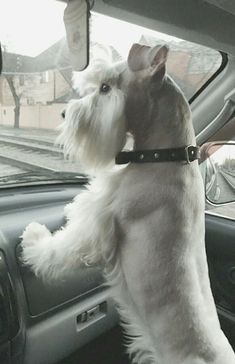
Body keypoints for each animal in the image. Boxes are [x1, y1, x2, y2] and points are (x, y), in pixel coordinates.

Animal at [20, 43, 235, 364]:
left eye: (105, 87)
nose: (63, 112)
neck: (166, 157)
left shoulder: (97, 228)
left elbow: (61, 247)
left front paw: (33, 237)